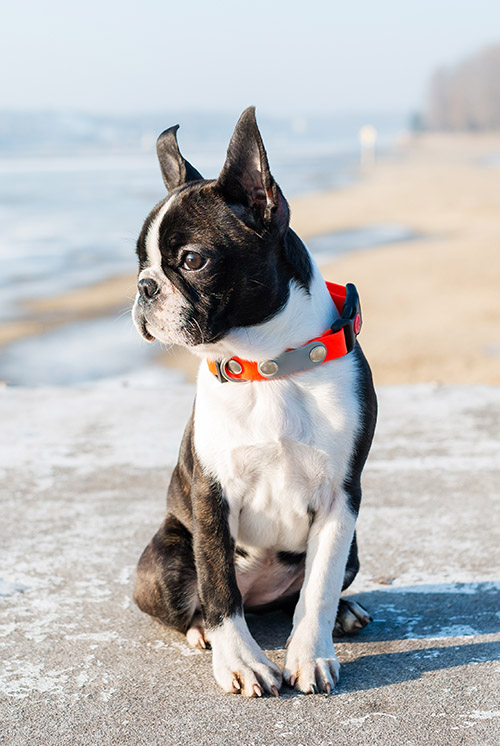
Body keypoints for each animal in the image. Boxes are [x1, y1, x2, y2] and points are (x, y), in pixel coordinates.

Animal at [131, 107, 376, 696]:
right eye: (139, 262)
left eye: (191, 260)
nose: (144, 287)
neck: (265, 367)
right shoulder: (211, 493)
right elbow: (220, 588)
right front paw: (240, 662)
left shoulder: (342, 499)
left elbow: (317, 588)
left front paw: (311, 654)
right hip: (163, 557)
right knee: (205, 598)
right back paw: (203, 633)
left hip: (355, 545)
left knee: (301, 593)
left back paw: (344, 613)